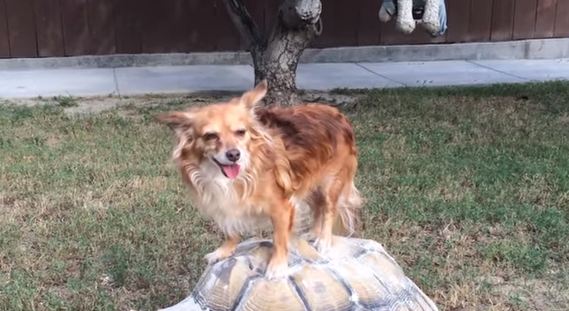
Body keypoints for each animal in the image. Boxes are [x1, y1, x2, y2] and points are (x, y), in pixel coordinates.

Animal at [156, 81, 360, 280]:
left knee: (328, 210)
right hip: (307, 181)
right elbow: (230, 230)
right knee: (318, 207)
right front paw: (224, 250)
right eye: (210, 136)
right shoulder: (225, 202)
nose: (234, 155)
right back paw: (314, 233)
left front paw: (277, 266)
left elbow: (279, 238)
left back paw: (323, 240)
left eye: (240, 132)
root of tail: (337, 113)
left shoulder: (282, 207)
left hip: (330, 183)